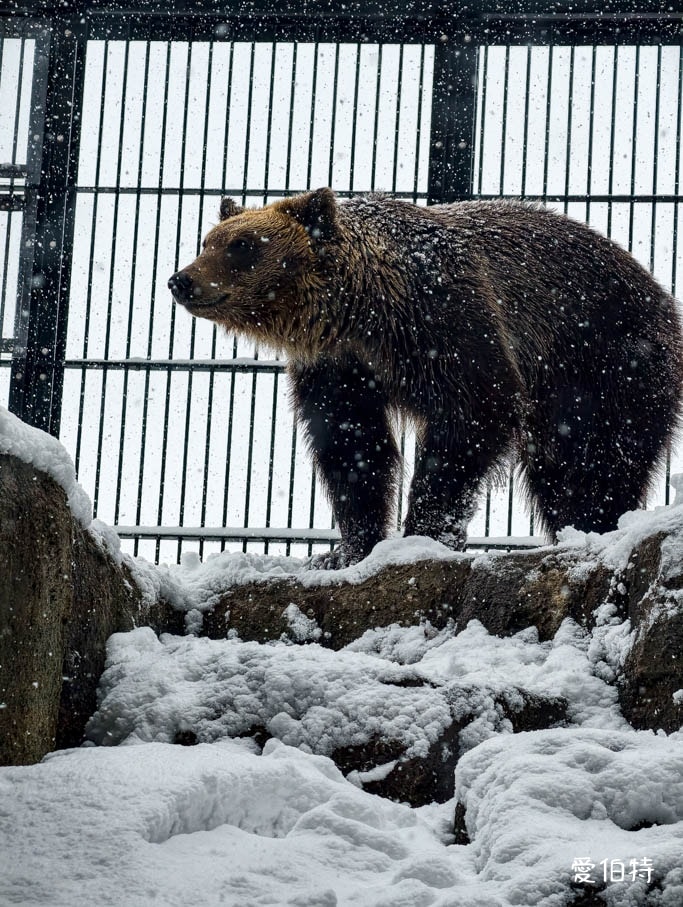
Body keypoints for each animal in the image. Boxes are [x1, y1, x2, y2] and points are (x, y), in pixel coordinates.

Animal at [169, 189, 683, 568]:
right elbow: (352, 444)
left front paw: (425, 531)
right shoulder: (338, 366)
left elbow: (473, 414)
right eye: (207, 241)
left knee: (602, 455)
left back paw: (597, 525)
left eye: (242, 246)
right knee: (556, 470)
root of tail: (658, 291)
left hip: (606, 359)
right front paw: (347, 548)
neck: (363, 313)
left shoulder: (444, 319)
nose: (181, 280)